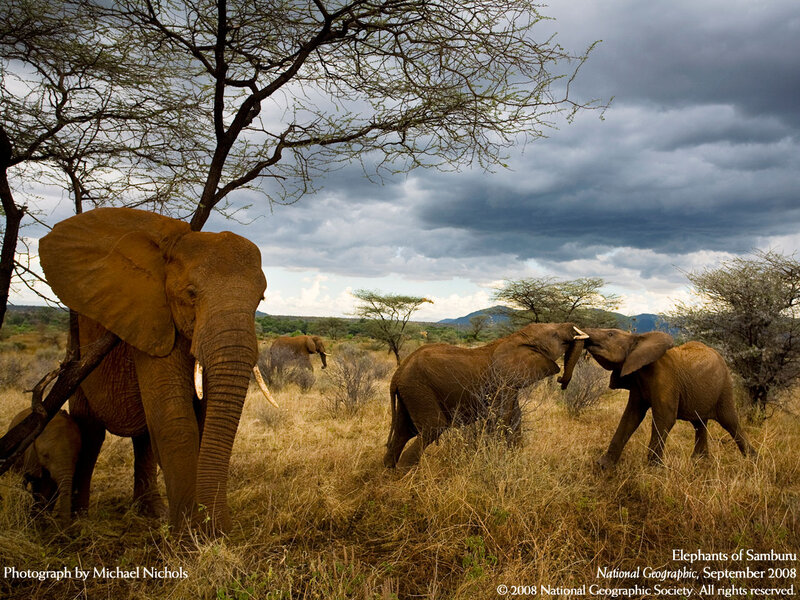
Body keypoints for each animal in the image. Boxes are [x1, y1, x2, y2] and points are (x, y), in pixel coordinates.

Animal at [39, 207, 276, 533]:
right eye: (191, 294)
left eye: (260, 300)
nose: (225, 529)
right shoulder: (154, 320)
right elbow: (175, 418)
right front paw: (189, 535)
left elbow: (201, 418)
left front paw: (198, 529)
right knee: (90, 432)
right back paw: (80, 521)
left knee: (143, 438)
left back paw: (152, 514)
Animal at [384, 322, 588, 468]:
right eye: (555, 335)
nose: (561, 381)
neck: (516, 337)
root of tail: (398, 373)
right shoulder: (502, 382)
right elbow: (500, 418)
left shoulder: (509, 384)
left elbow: (515, 419)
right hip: (419, 388)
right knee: (433, 428)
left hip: (410, 392)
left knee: (403, 432)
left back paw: (389, 472)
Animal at [577, 328, 756, 468]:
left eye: (610, 334)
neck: (639, 339)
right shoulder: (638, 381)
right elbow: (631, 416)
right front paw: (603, 466)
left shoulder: (665, 378)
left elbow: (665, 418)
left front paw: (652, 471)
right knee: (699, 423)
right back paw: (699, 462)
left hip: (725, 387)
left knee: (729, 421)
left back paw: (753, 460)